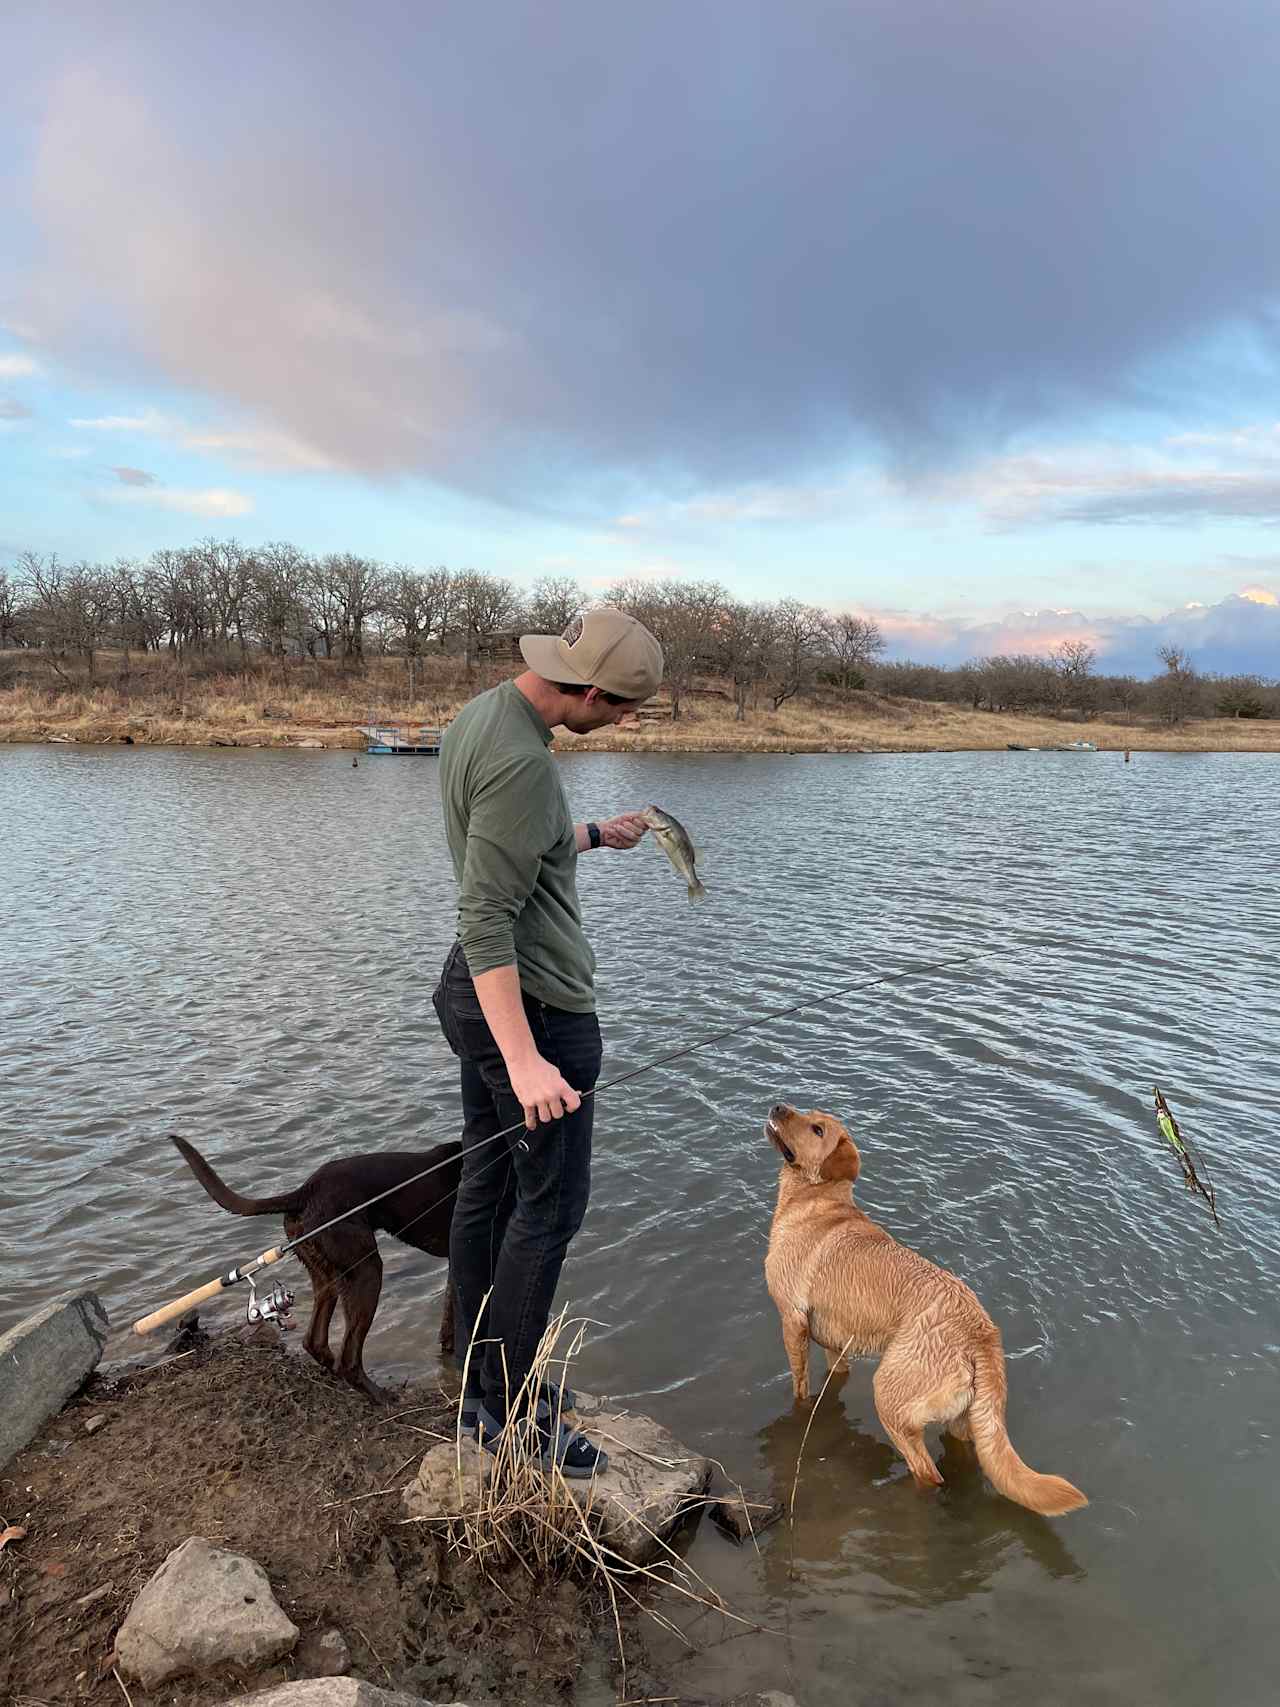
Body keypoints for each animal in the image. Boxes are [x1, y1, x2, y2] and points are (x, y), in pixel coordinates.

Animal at [173, 1133, 464, 1399]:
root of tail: (305, 1192)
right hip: (367, 1270)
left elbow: (450, 1323)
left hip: (327, 1277)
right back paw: (383, 1398)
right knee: (348, 1359)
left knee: (315, 1341)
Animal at [768, 1106, 1085, 1522]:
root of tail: (980, 1335)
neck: (814, 1200)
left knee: (927, 1473)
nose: (777, 1107)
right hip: (963, 1420)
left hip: (890, 1396)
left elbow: (799, 1386)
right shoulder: (834, 1345)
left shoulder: (792, 1321)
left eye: (817, 1129)